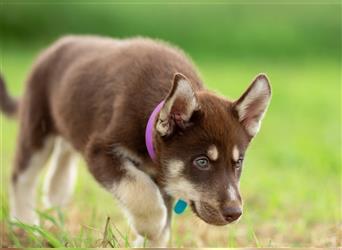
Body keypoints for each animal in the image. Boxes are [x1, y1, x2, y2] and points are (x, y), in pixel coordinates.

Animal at [1, 35, 272, 246]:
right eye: (202, 161)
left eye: (238, 163)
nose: (234, 213)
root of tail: (51, 48)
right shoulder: (100, 151)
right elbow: (143, 194)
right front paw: (150, 227)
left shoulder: (166, 176)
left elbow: (162, 219)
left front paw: (152, 239)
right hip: (37, 129)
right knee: (21, 177)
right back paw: (24, 225)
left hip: (68, 124)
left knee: (61, 169)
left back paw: (55, 209)